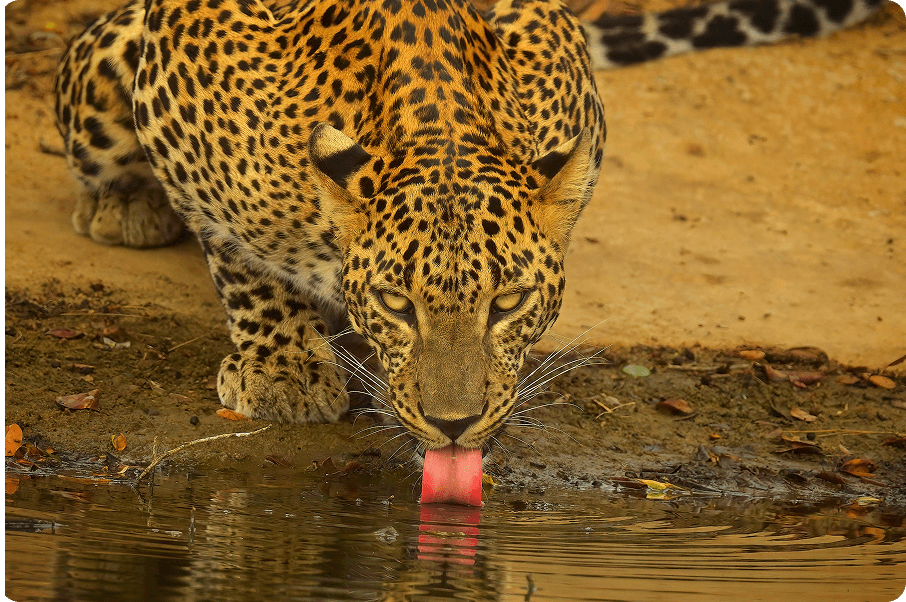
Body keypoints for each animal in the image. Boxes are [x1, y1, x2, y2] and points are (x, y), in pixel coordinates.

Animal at [54, 0, 886, 454]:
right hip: (103, 74)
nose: (453, 426)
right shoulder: (183, 71)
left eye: (508, 304)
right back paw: (125, 204)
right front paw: (283, 369)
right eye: (397, 305)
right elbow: (241, 254)